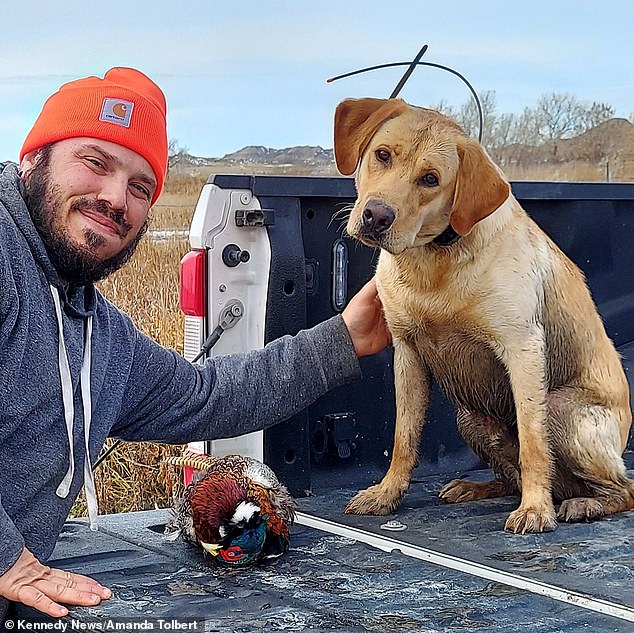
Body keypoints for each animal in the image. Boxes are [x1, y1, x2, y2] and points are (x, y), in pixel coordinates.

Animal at [334, 97, 628, 532]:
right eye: (382, 155)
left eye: (430, 179)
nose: (376, 216)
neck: (433, 262)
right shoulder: (407, 352)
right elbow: (404, 437)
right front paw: (387, 494)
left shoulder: (523, 348)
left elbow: (533, 444)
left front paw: (535, 509)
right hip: (471, 419)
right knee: (514, 477)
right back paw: (477, 487)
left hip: (562, 409)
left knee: (622, 489)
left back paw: (583, 504)